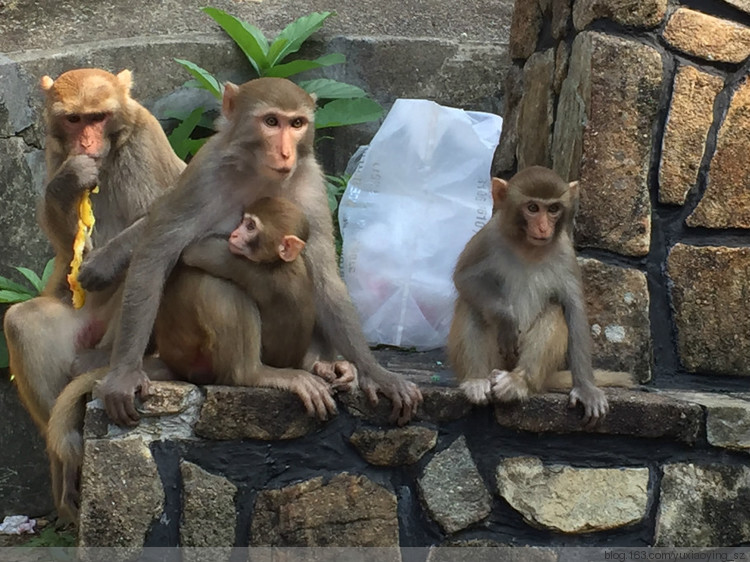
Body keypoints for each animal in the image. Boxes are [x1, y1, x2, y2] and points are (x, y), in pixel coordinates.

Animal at [3, 68, 186, 520]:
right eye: (75, 120)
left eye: (98, 118)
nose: (86, 144)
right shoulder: (55, 151)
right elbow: (66, 243)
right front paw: (68, 183)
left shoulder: (147, 138)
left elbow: (172, 213)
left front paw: (102, 264)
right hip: (78, 320)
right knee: (22, 322)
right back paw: (64, 452)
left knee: (149, 257)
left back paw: (107, 362)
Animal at [79, 76, 424, 428]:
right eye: (271, 122)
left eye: (297, 123)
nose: (285, 152)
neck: (259, 172)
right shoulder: (203, 173)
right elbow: (156, 254)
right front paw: (124, 375)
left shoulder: (312, 183)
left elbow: (324, 276)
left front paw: (377, 374)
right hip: (187, 353)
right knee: (215, 284)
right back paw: (254, 374)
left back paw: (322, 364)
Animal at [450, 164, 632, 422]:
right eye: (533, 208)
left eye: (553, 209)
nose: (544, 227)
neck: (528, 247)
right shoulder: (488, 236)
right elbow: (465, 278)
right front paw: (506, 318)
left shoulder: (566, 255)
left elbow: (574, 311)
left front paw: (586, 388)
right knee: (472, 304)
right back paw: (476, 380)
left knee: (556, 309)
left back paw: (518, 382)